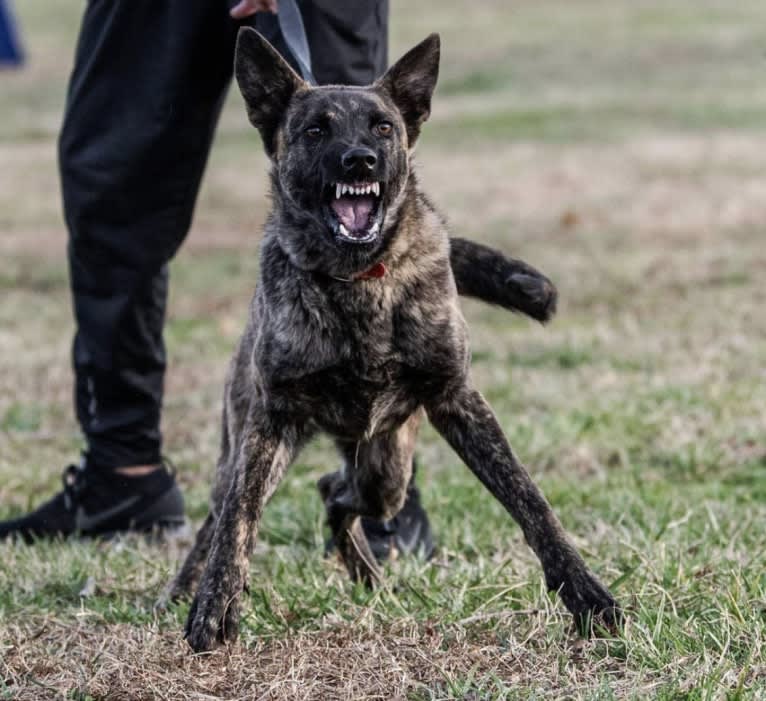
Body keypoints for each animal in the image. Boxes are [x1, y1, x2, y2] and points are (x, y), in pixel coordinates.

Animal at [166, 27, 616, 652]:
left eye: (382, 126)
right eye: (315, 130)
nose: (360, 159)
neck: (358, 281)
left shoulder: (457, 400)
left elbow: (530, 501)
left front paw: (586, 595)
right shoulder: (270, 421)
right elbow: (239, 519)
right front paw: (214, 606)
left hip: (388, 468)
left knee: (336, 490)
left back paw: (366, 574)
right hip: (257, 445)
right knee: (225, 513)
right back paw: (184, 588)